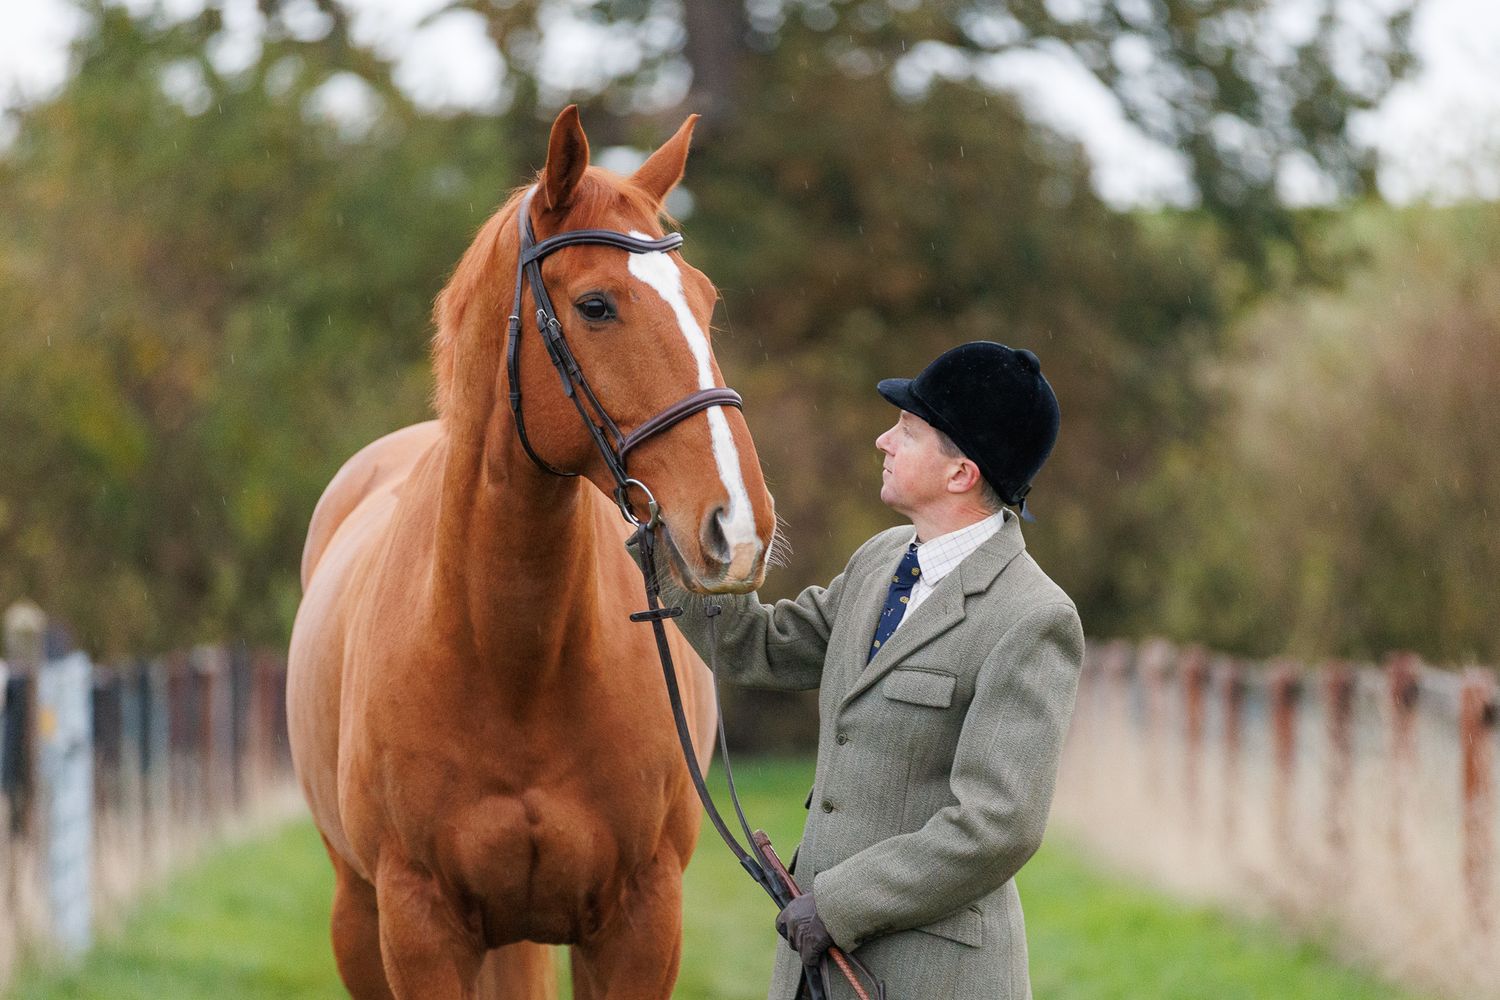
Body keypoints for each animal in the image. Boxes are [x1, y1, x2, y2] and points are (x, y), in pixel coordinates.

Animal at [286, 105, 777, 999]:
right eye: (596, 305)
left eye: (705, 300)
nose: (740, 526)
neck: (516, 662)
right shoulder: (417, 925)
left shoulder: (641, 921)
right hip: (358, 915)